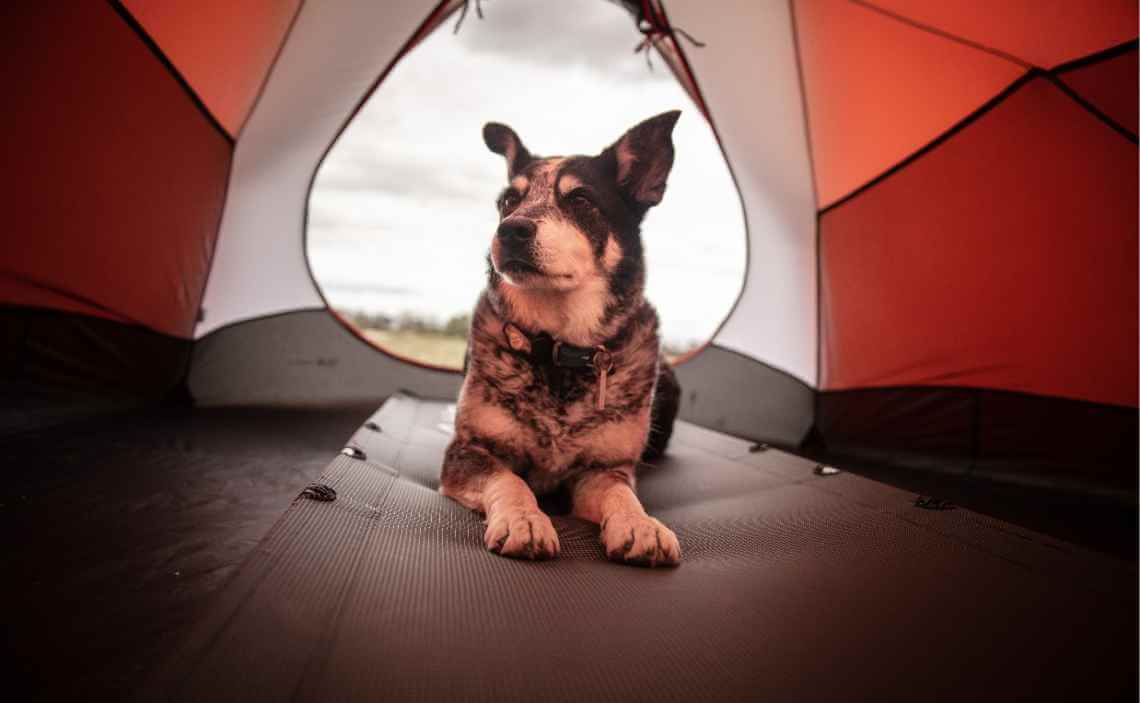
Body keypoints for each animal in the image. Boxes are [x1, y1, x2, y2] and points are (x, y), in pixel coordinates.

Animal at [440, 111, 679, 569]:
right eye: (507, 201)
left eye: (581, 200)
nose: (510, 231)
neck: (559, 348)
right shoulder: (468, 451)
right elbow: (509, 479)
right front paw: (525, 520)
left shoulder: (602, 470)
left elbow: (622, 495)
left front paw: (640, 525)